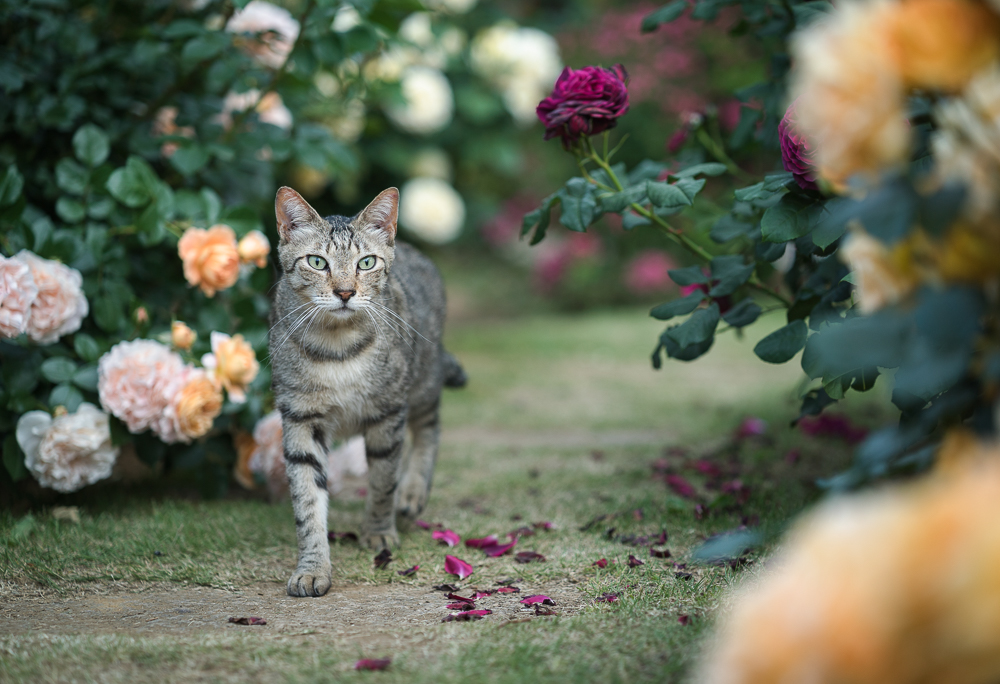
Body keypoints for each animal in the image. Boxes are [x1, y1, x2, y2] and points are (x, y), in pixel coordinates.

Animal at [268, 184, 466, 596]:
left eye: (366, 263)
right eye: (317, 262)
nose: (345, 292)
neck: (336, 347)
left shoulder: (387, 411)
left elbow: (382, 480)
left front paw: (378, 531)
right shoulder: (300, 418)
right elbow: (307, 502)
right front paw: (312, 567)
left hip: (422, 380)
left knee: (430, 427)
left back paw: (412, 492)